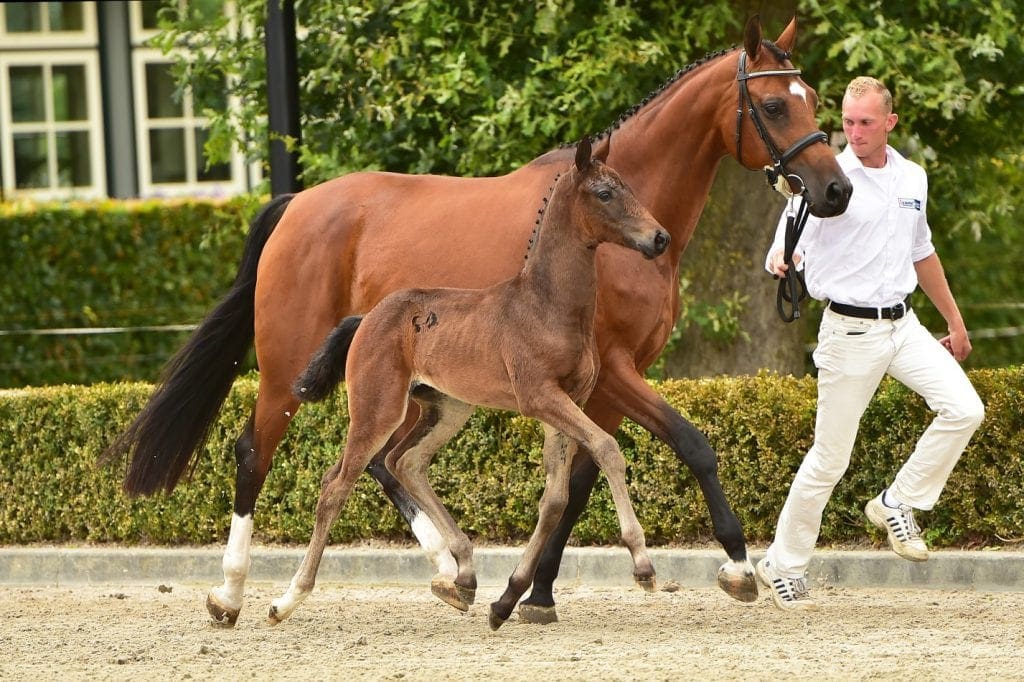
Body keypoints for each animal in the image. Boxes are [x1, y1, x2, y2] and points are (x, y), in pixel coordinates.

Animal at [268, 137, 669, 629]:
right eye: (605, 193)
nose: (660, 238)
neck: (548, 304)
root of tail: (367, 317)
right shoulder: (540, 396)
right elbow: (608, 448)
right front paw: (643, 566)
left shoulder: (567, 400)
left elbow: (555, 498)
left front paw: (507, 599)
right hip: (378, 408)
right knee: (337, 484)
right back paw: (287, 599)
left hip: (447, 408)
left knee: (405, 462)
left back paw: (462, 578)